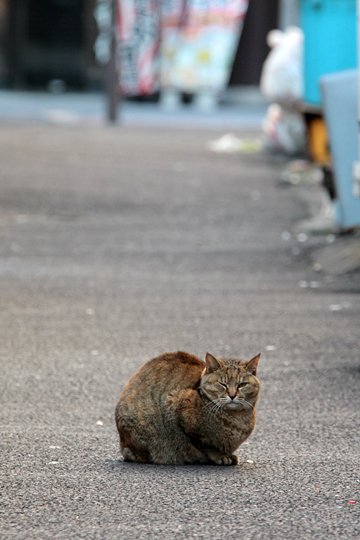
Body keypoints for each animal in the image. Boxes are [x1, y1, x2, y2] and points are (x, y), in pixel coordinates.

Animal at [114, 350, 260, 464]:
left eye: (242, 385)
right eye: (222, 384)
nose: (232, 395)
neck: (237, 418)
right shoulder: (175, 405)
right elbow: (207, 445)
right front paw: (220, 456)